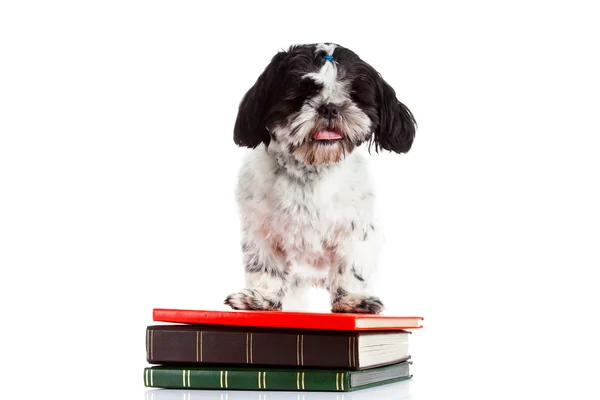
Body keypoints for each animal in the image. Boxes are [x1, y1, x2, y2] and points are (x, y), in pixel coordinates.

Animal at [223, 43, 414, 312]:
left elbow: (350, 265)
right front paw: (260, 297)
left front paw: (352, 299)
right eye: (301, 94)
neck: (312, 169)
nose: (329, 107)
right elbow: (264, 265)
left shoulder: (356, 229)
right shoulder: (260, 229)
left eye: (353, 93)